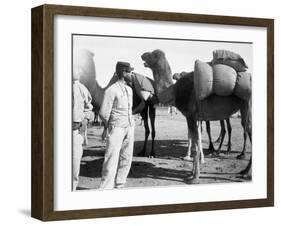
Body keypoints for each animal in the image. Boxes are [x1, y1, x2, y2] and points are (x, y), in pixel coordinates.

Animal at [141, 49, 250, 184]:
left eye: (152, 55)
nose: (142, 55)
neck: (174, 91)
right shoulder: (191, 117)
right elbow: (195, 142)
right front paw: (192, 173)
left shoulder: (192, 116)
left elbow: (195, 146)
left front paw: (195, 177)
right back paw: (243, 170)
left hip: (247, 104)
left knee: (247, 129)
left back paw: (244, 169)